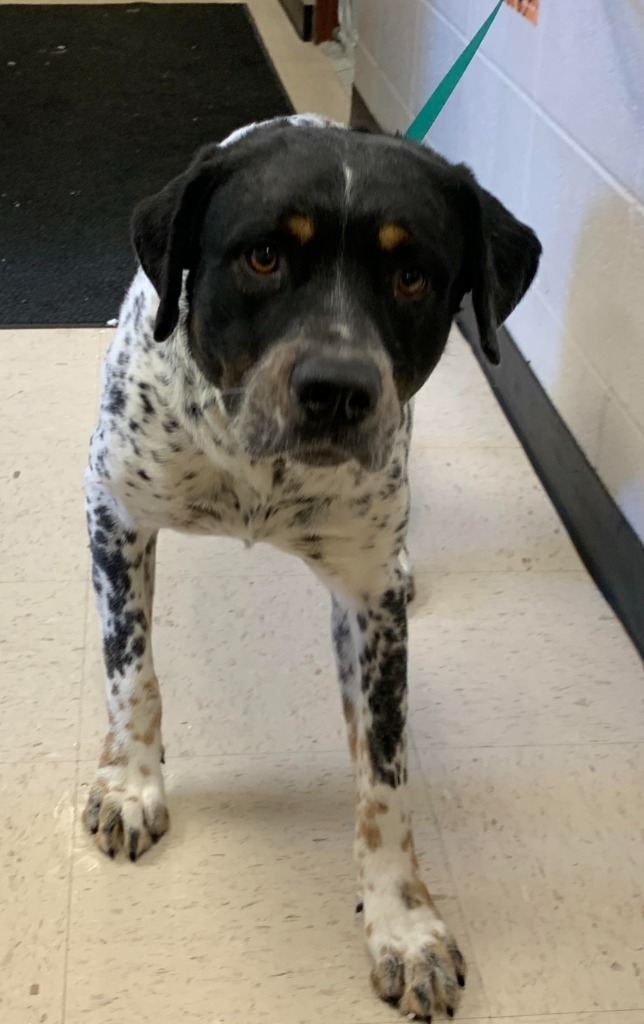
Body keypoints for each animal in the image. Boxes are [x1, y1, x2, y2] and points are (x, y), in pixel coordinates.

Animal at [82, 116, 540, 1019]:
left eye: (411, 275)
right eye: (263, 257)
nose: (337, 389)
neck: (258, 478)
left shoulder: (370, 603)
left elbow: (385, 783)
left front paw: (403, 925)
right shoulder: (114, 513)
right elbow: (132, 672)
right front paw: (133, 783)